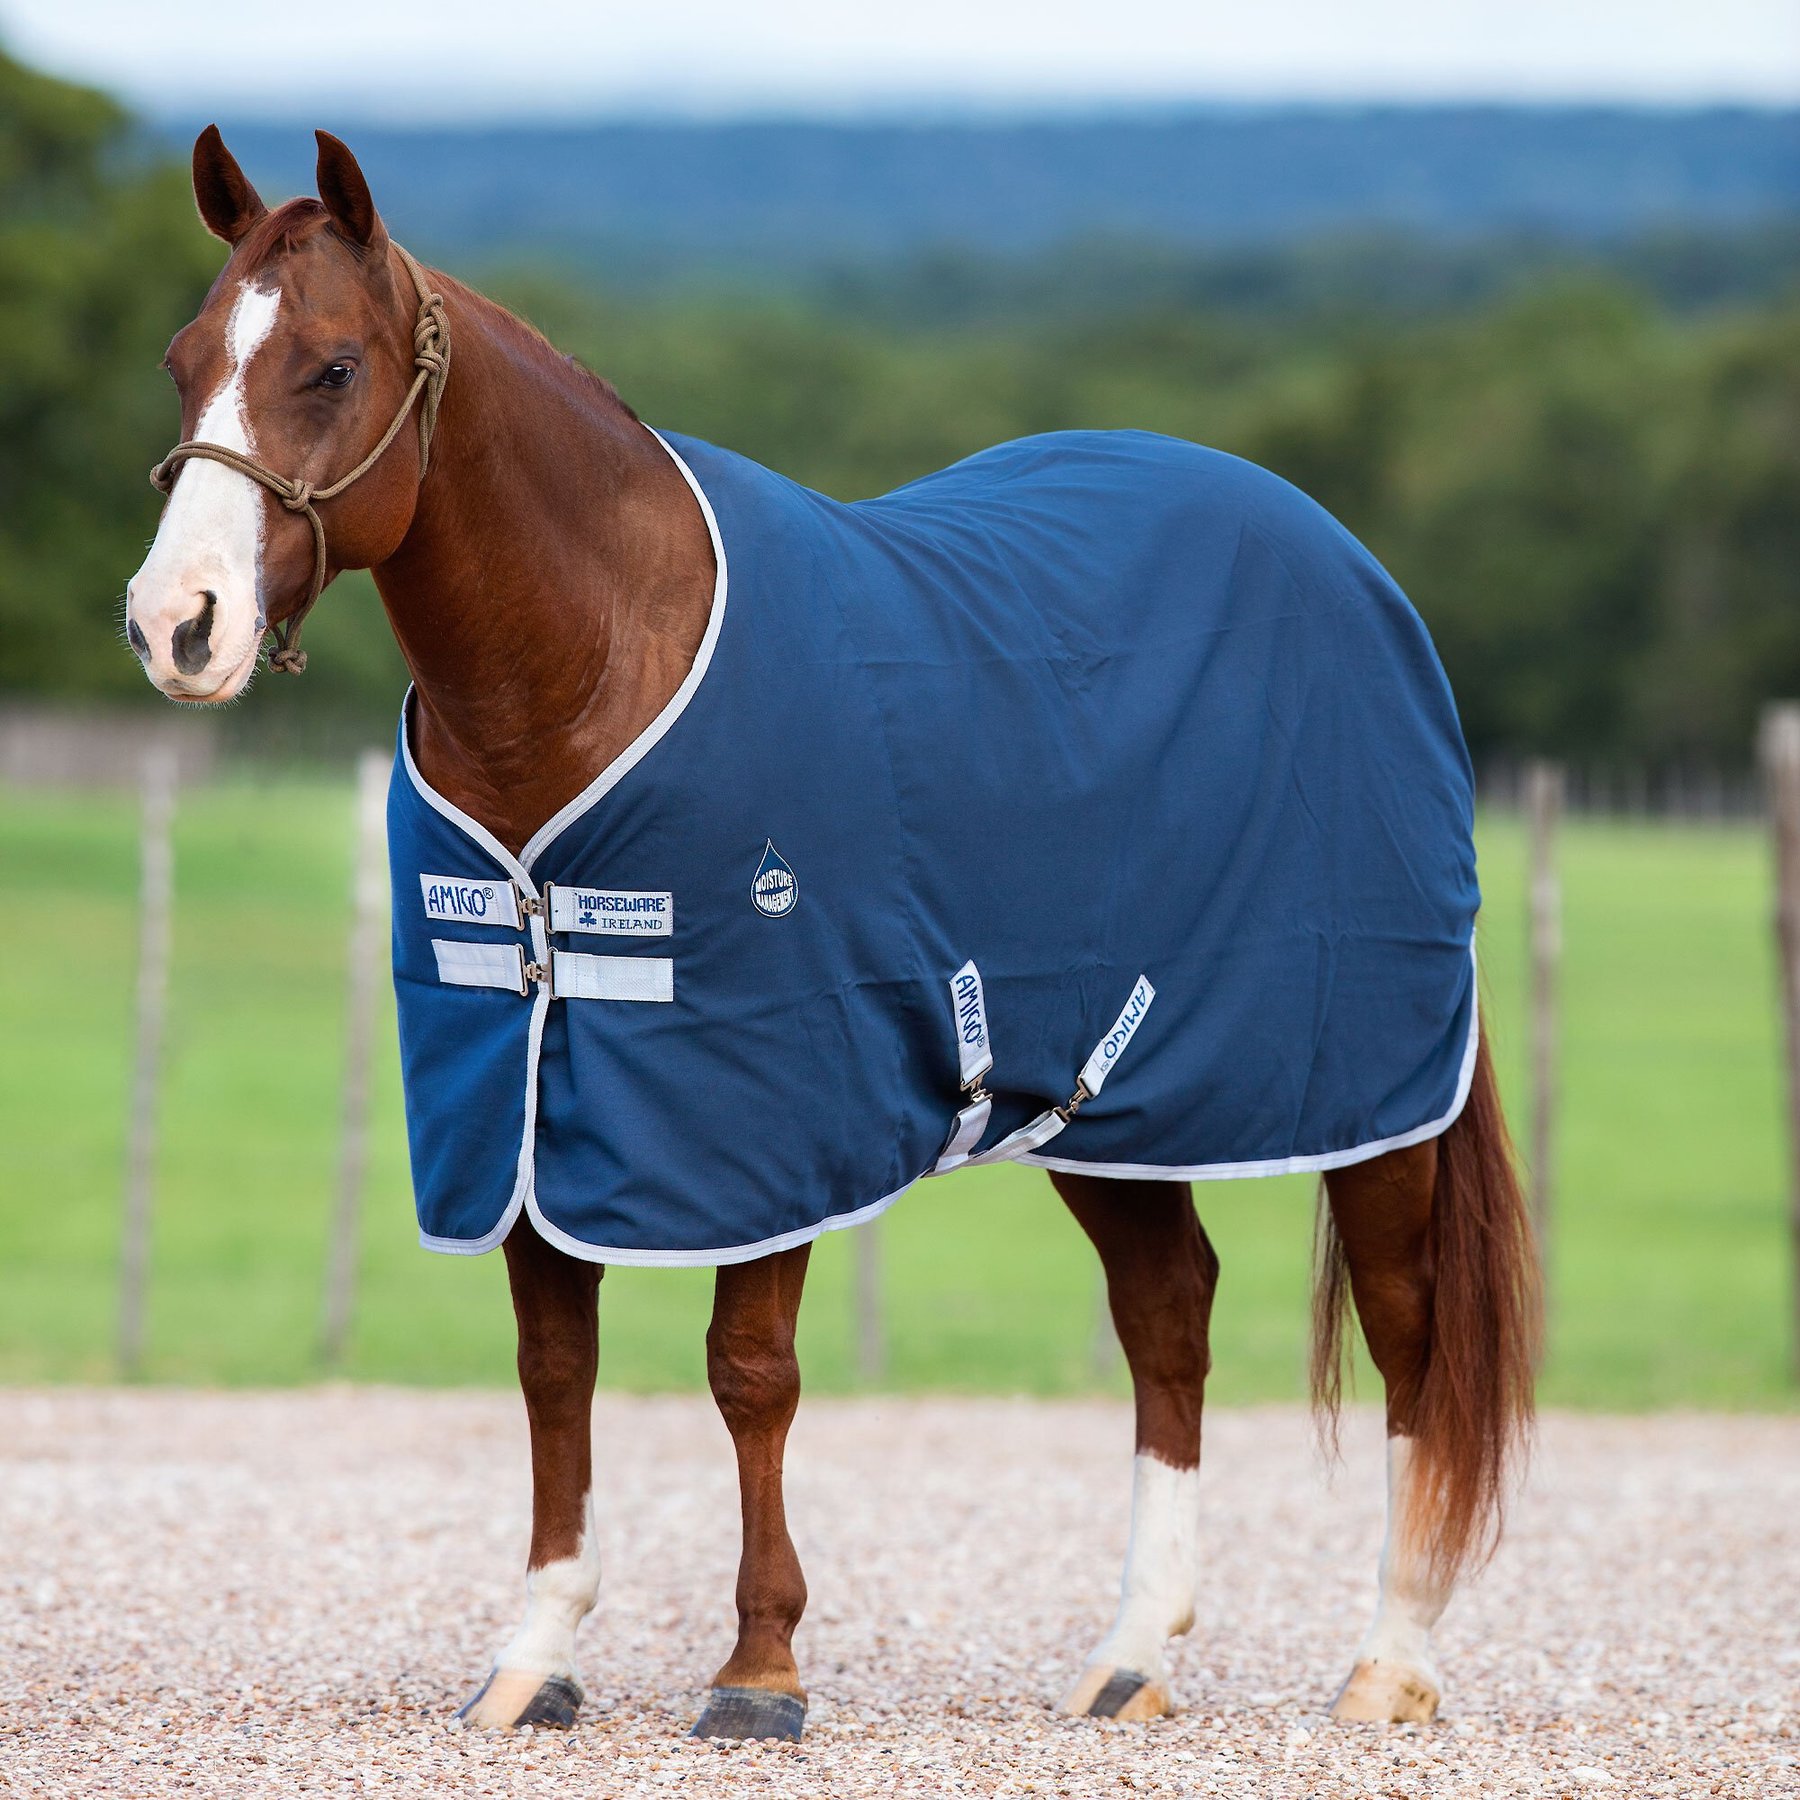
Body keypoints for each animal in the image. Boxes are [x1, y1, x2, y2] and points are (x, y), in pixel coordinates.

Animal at [124, 127, 1541, 1741]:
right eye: (182, 363)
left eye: (333, 367)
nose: (177, 622)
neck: (594, 662)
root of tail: (1356, 573)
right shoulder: (525, 1100)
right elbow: (555, 1371)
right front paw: (536, 1655)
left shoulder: (765, 1105)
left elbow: (750, 1372)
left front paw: (759, 1669)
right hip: (1106, 1093)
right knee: (1169, 1313)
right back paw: (1134, 1652)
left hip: (1367, 1087)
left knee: (1408, 1328)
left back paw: (1392, 1660)